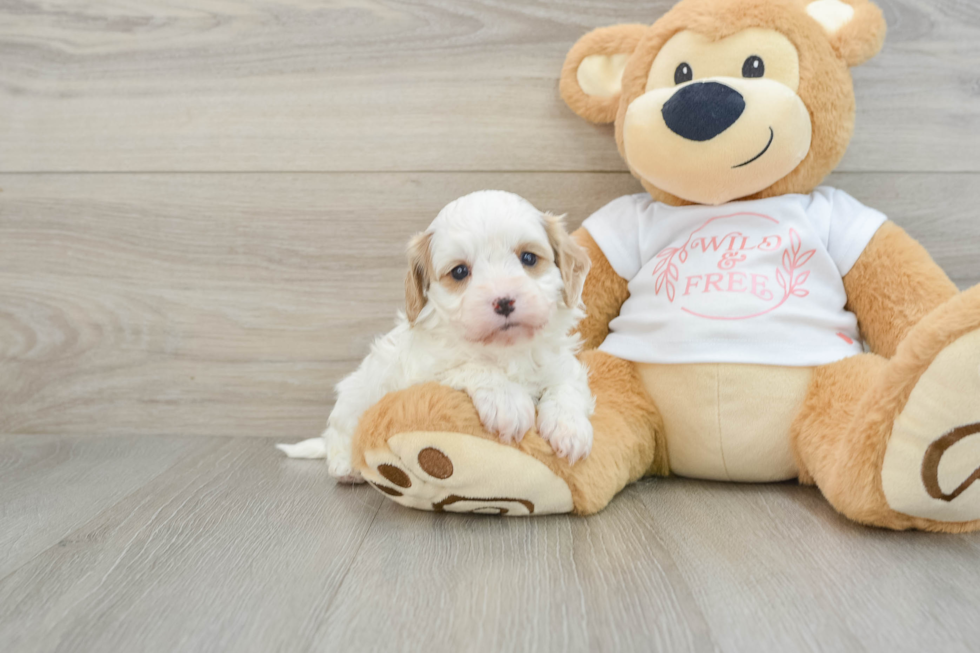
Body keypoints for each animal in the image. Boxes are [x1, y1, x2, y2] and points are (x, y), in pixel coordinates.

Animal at [280, 191, 592, 482]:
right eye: (460, 271)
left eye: (528, 257)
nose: (504, 301)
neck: (505, 349)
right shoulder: (424, 374)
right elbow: (472, 366)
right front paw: (507, 401)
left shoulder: (561, 362)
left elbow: (567, 384)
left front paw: (570, 427)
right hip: (352, 398)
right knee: (338, 434)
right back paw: (345, 466)